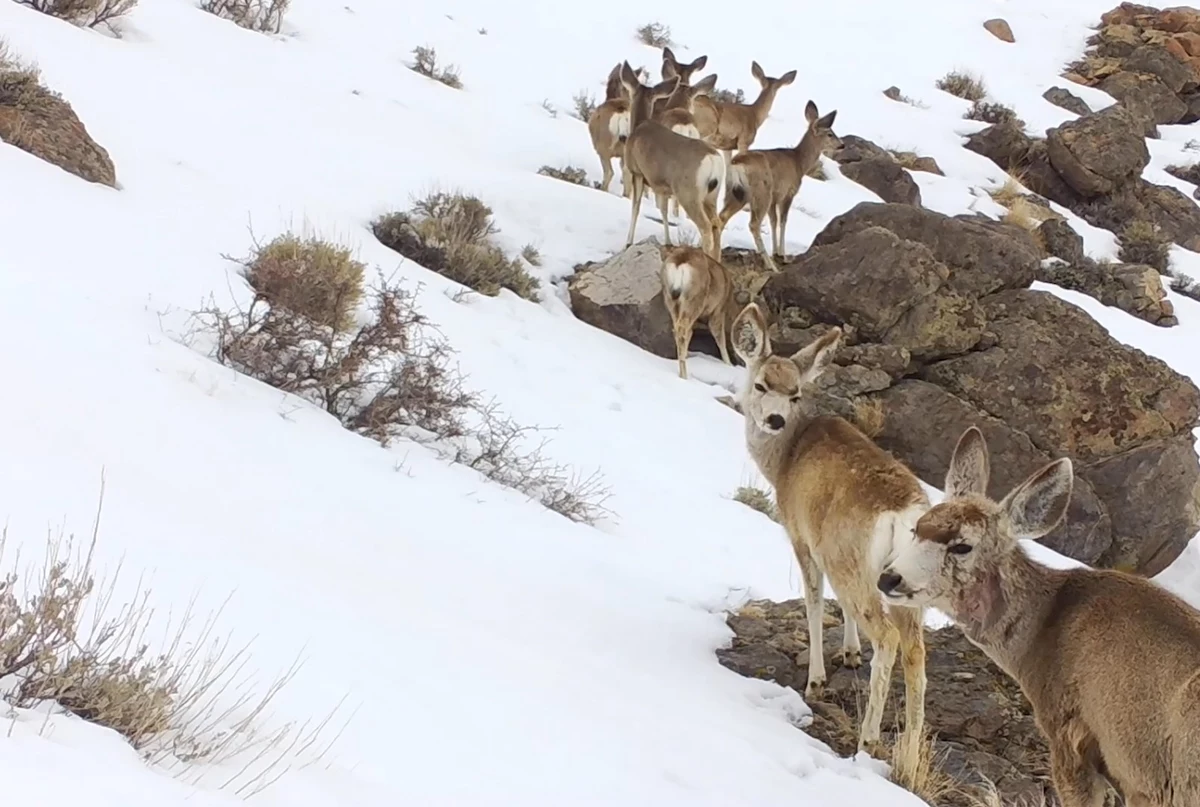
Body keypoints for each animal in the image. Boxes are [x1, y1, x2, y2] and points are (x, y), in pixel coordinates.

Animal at [624, 63, 724, 258]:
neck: (639, 126)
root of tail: (712, 160)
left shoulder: (637, 172)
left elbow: (635, 207)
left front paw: (628, 242)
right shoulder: (661, 185)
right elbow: (663, 210)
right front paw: (668, 242)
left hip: (689, 193)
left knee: (706, 227)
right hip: (712, 195)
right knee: (717, 224)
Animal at [662, 242, 734, 379]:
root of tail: (681, 261)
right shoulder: (718, 311)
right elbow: (720, 338)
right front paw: (729, 365)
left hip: (670, 298)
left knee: (679, 329)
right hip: (694, 300)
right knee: (683, 329)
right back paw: (684, 375)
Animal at [715, 99, 840, 271]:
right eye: (830, 134)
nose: (842, 145)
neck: (799, 163)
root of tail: (737, 164)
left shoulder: (775, 198)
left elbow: (773, 221)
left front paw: (776, 252)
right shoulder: (788, 192)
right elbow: (783, 220)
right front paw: (782, 255)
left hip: (735, 192)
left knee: (721, 217)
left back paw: (716, 257)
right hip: (761, 193)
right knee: (753, 224)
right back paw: (771, 266)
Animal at [729, 302, 926, 787]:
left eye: (796, 392)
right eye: (761, 385)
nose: (775, 419)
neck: (784, 460)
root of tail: (903, 515)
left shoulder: (802, 535)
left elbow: (815, 600)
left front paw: (816, 677)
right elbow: (839, 607)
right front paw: (850, 653)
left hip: (855, 563)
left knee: (888, 637)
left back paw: (868, 738)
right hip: (905, 584)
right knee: (916, 651)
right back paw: (910, 754)